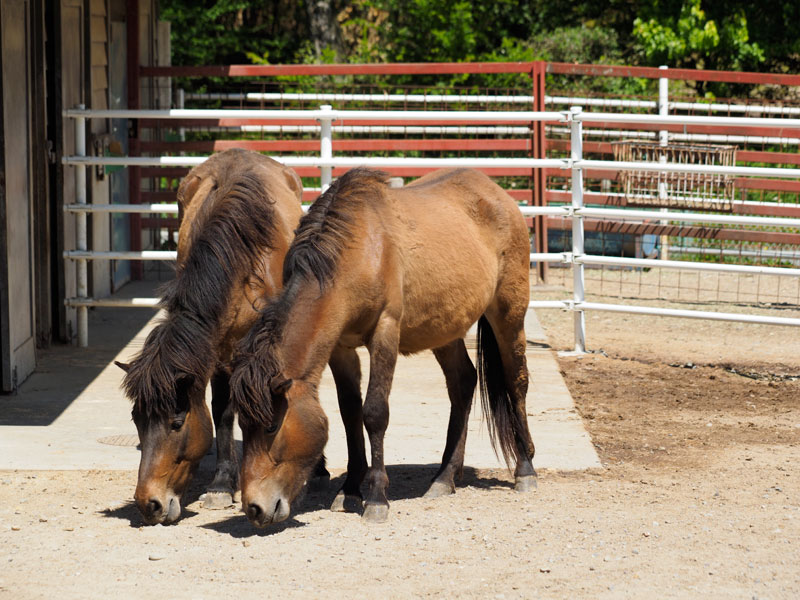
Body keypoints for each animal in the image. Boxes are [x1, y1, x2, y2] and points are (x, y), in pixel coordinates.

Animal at [116, 150, 306, 524]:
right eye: (136, 420)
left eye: (176, 423)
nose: (149, 505)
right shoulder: (218, 351)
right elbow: (222, 412)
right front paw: (221, 484)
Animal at [228, 168, 536, 524]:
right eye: (243, 426)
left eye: (271, 426)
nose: (254, 508)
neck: (358, 251)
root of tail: (497, 194)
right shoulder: (340, 347)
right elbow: (349, 412)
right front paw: (349, 489)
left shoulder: (385, 331)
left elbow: (374, 412)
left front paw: (376, 496)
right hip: (445, 329)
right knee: (463, 382)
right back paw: (444, 477)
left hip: (509, 314)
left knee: (516, 382)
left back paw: (525, 469)